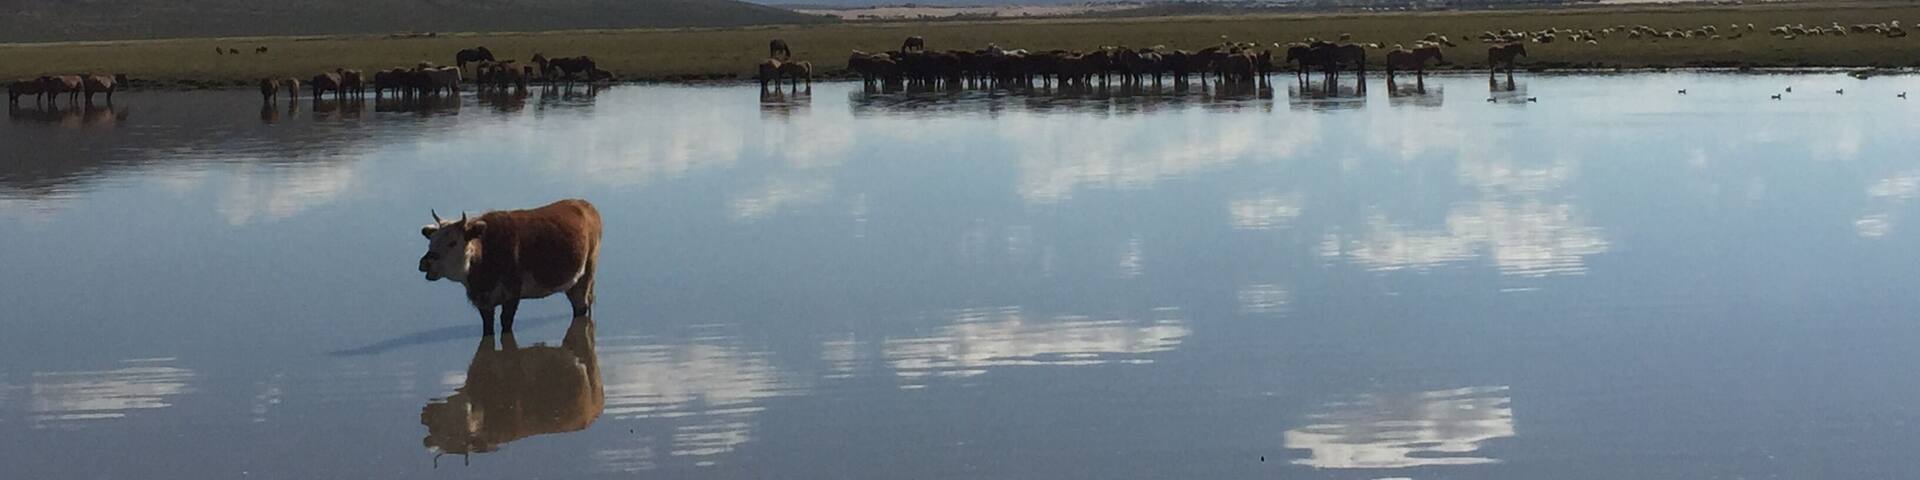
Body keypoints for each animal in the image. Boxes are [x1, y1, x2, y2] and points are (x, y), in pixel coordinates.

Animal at [419, 199, 602, 336]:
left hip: (588, 269)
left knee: (581, 306)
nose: (425, 263)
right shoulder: (484, 302)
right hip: (573, 280)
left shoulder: (512, 293)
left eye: (453, 242)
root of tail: (583, 204)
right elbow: (488, 327)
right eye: (431, 240)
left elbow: (506, 323)